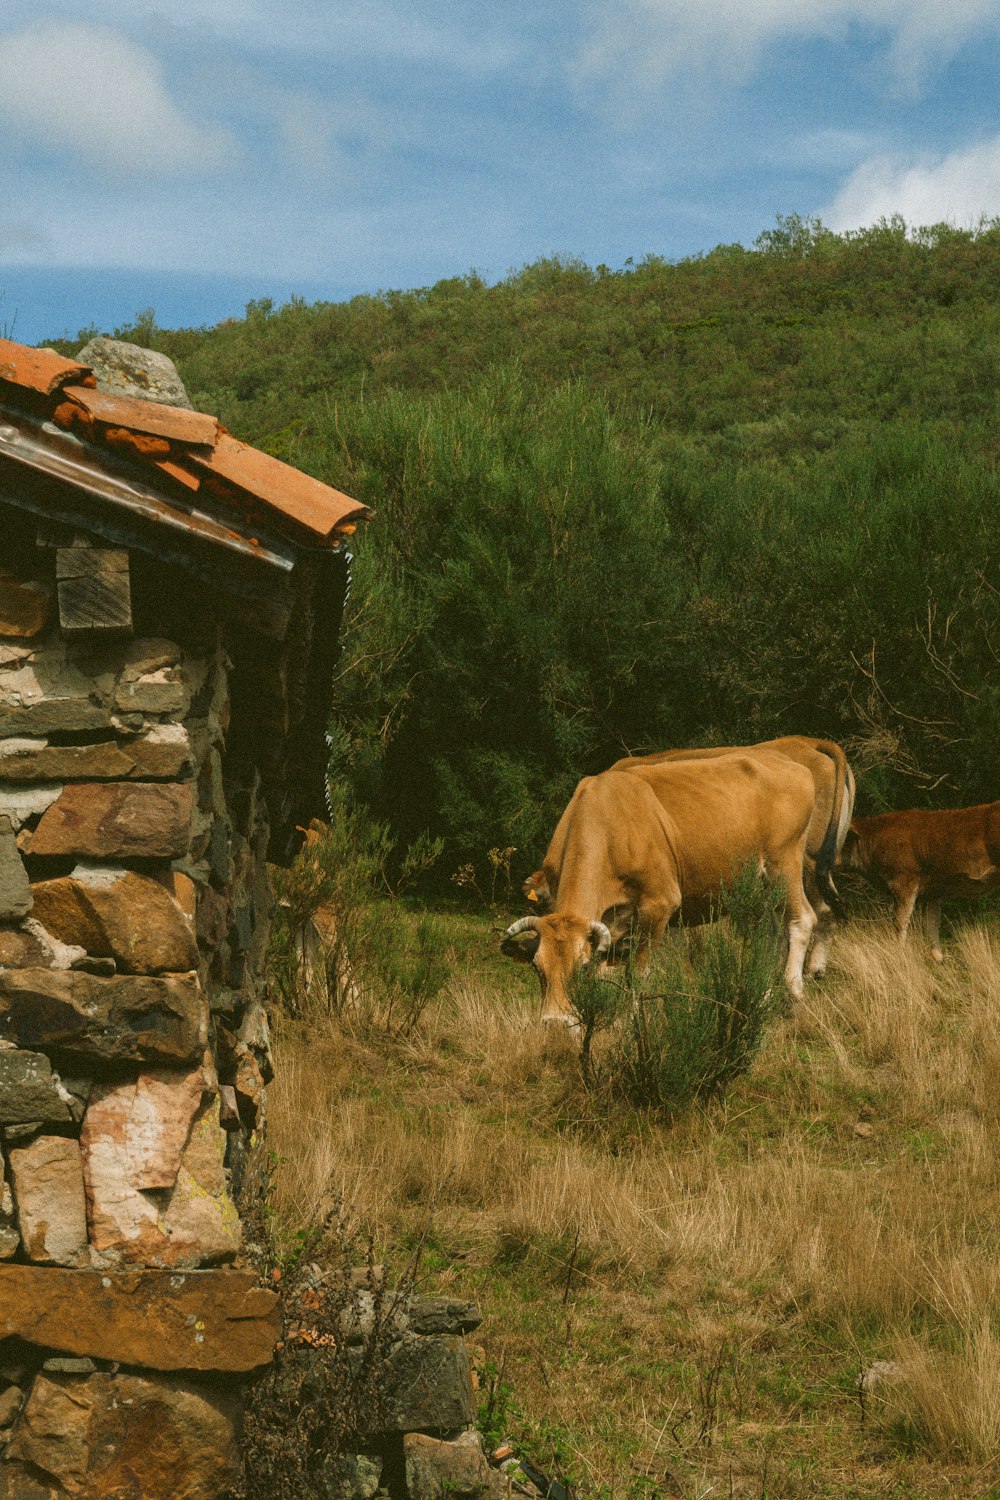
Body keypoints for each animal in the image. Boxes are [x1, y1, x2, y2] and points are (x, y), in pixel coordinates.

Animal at [503, 756, 815, 1026]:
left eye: (581, 967)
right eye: (537, 968)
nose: (554, 1023)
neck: (609, 825)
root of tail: (793, 766)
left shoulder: (659, 904)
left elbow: (637, 975)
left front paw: (633, 1023)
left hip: (784, 863)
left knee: (801, 920)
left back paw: (794, 996)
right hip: (760, 888)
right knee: (770, 937)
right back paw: (762, 999)